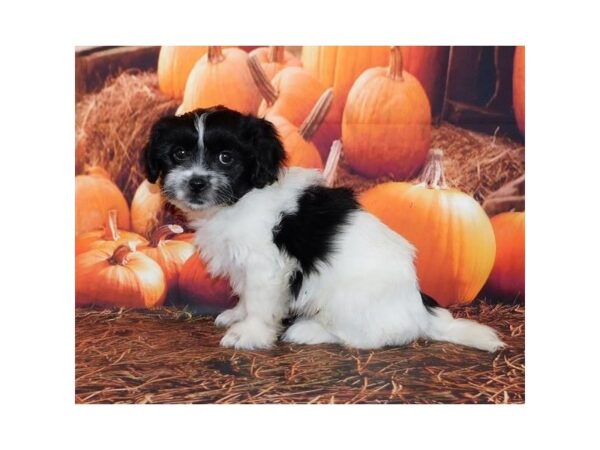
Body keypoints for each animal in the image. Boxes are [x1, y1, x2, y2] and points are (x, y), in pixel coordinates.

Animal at [144, 105, 506, 352]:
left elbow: (260, 302)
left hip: (347, 300)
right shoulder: (245, 263)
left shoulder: (267, 265)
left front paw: (250, 334)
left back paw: (309, 331)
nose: (196, 182)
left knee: (365, 337)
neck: (242, 197)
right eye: (178, 153)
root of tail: (421, 312)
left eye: (225, 158)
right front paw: (237, 315)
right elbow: (246, 293)